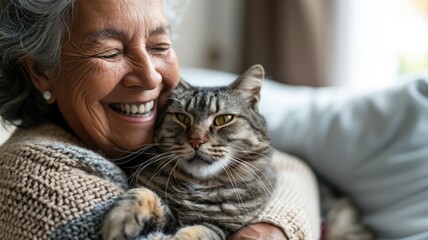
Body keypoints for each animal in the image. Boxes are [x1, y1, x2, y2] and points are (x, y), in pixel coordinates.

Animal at [104, 64, 278, 240]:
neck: (197, 187)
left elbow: (196, 232)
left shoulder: (220, 228)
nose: (196, 141)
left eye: (224, 119)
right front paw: (121, 217)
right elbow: (143, 192)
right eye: (182, 117)